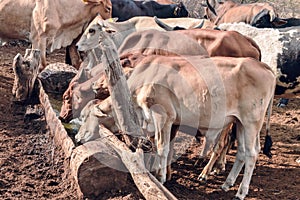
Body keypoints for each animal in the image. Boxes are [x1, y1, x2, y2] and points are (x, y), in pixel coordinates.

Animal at [75, 53, 276, 200]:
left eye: (85, 116)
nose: (77, 137)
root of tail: (263, 66)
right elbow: (159, 146)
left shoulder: (163, 115)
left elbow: (162, 147)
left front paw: (161, 176)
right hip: (239, 123)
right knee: (242, 152)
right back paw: (227, 184)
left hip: (251, 122)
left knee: (251, 154)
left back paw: (240, 192)